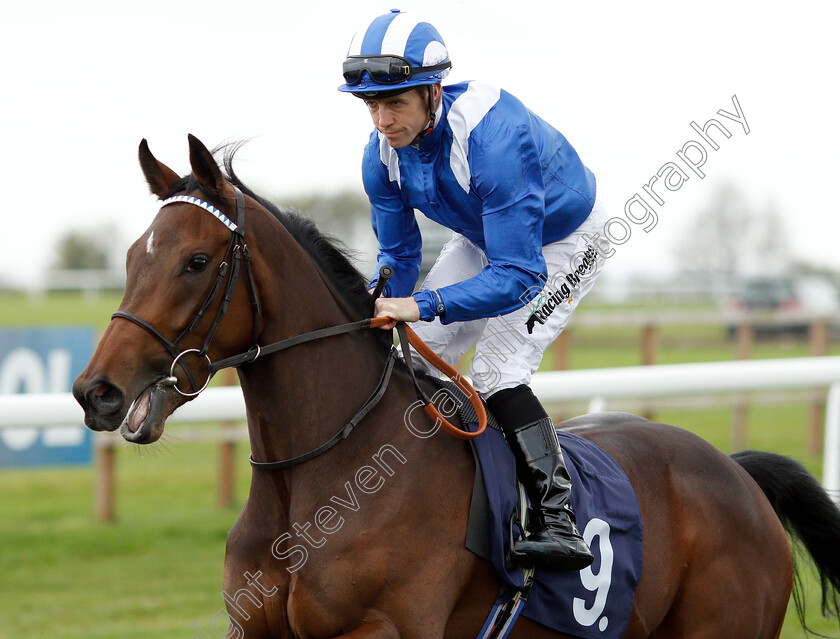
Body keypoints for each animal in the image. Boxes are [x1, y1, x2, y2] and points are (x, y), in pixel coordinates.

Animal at [74, 136, 840, 639]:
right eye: (131, 257)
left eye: (196, 261)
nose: (96, 391)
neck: (327, 474)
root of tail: (735, 472)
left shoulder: (384, 627)